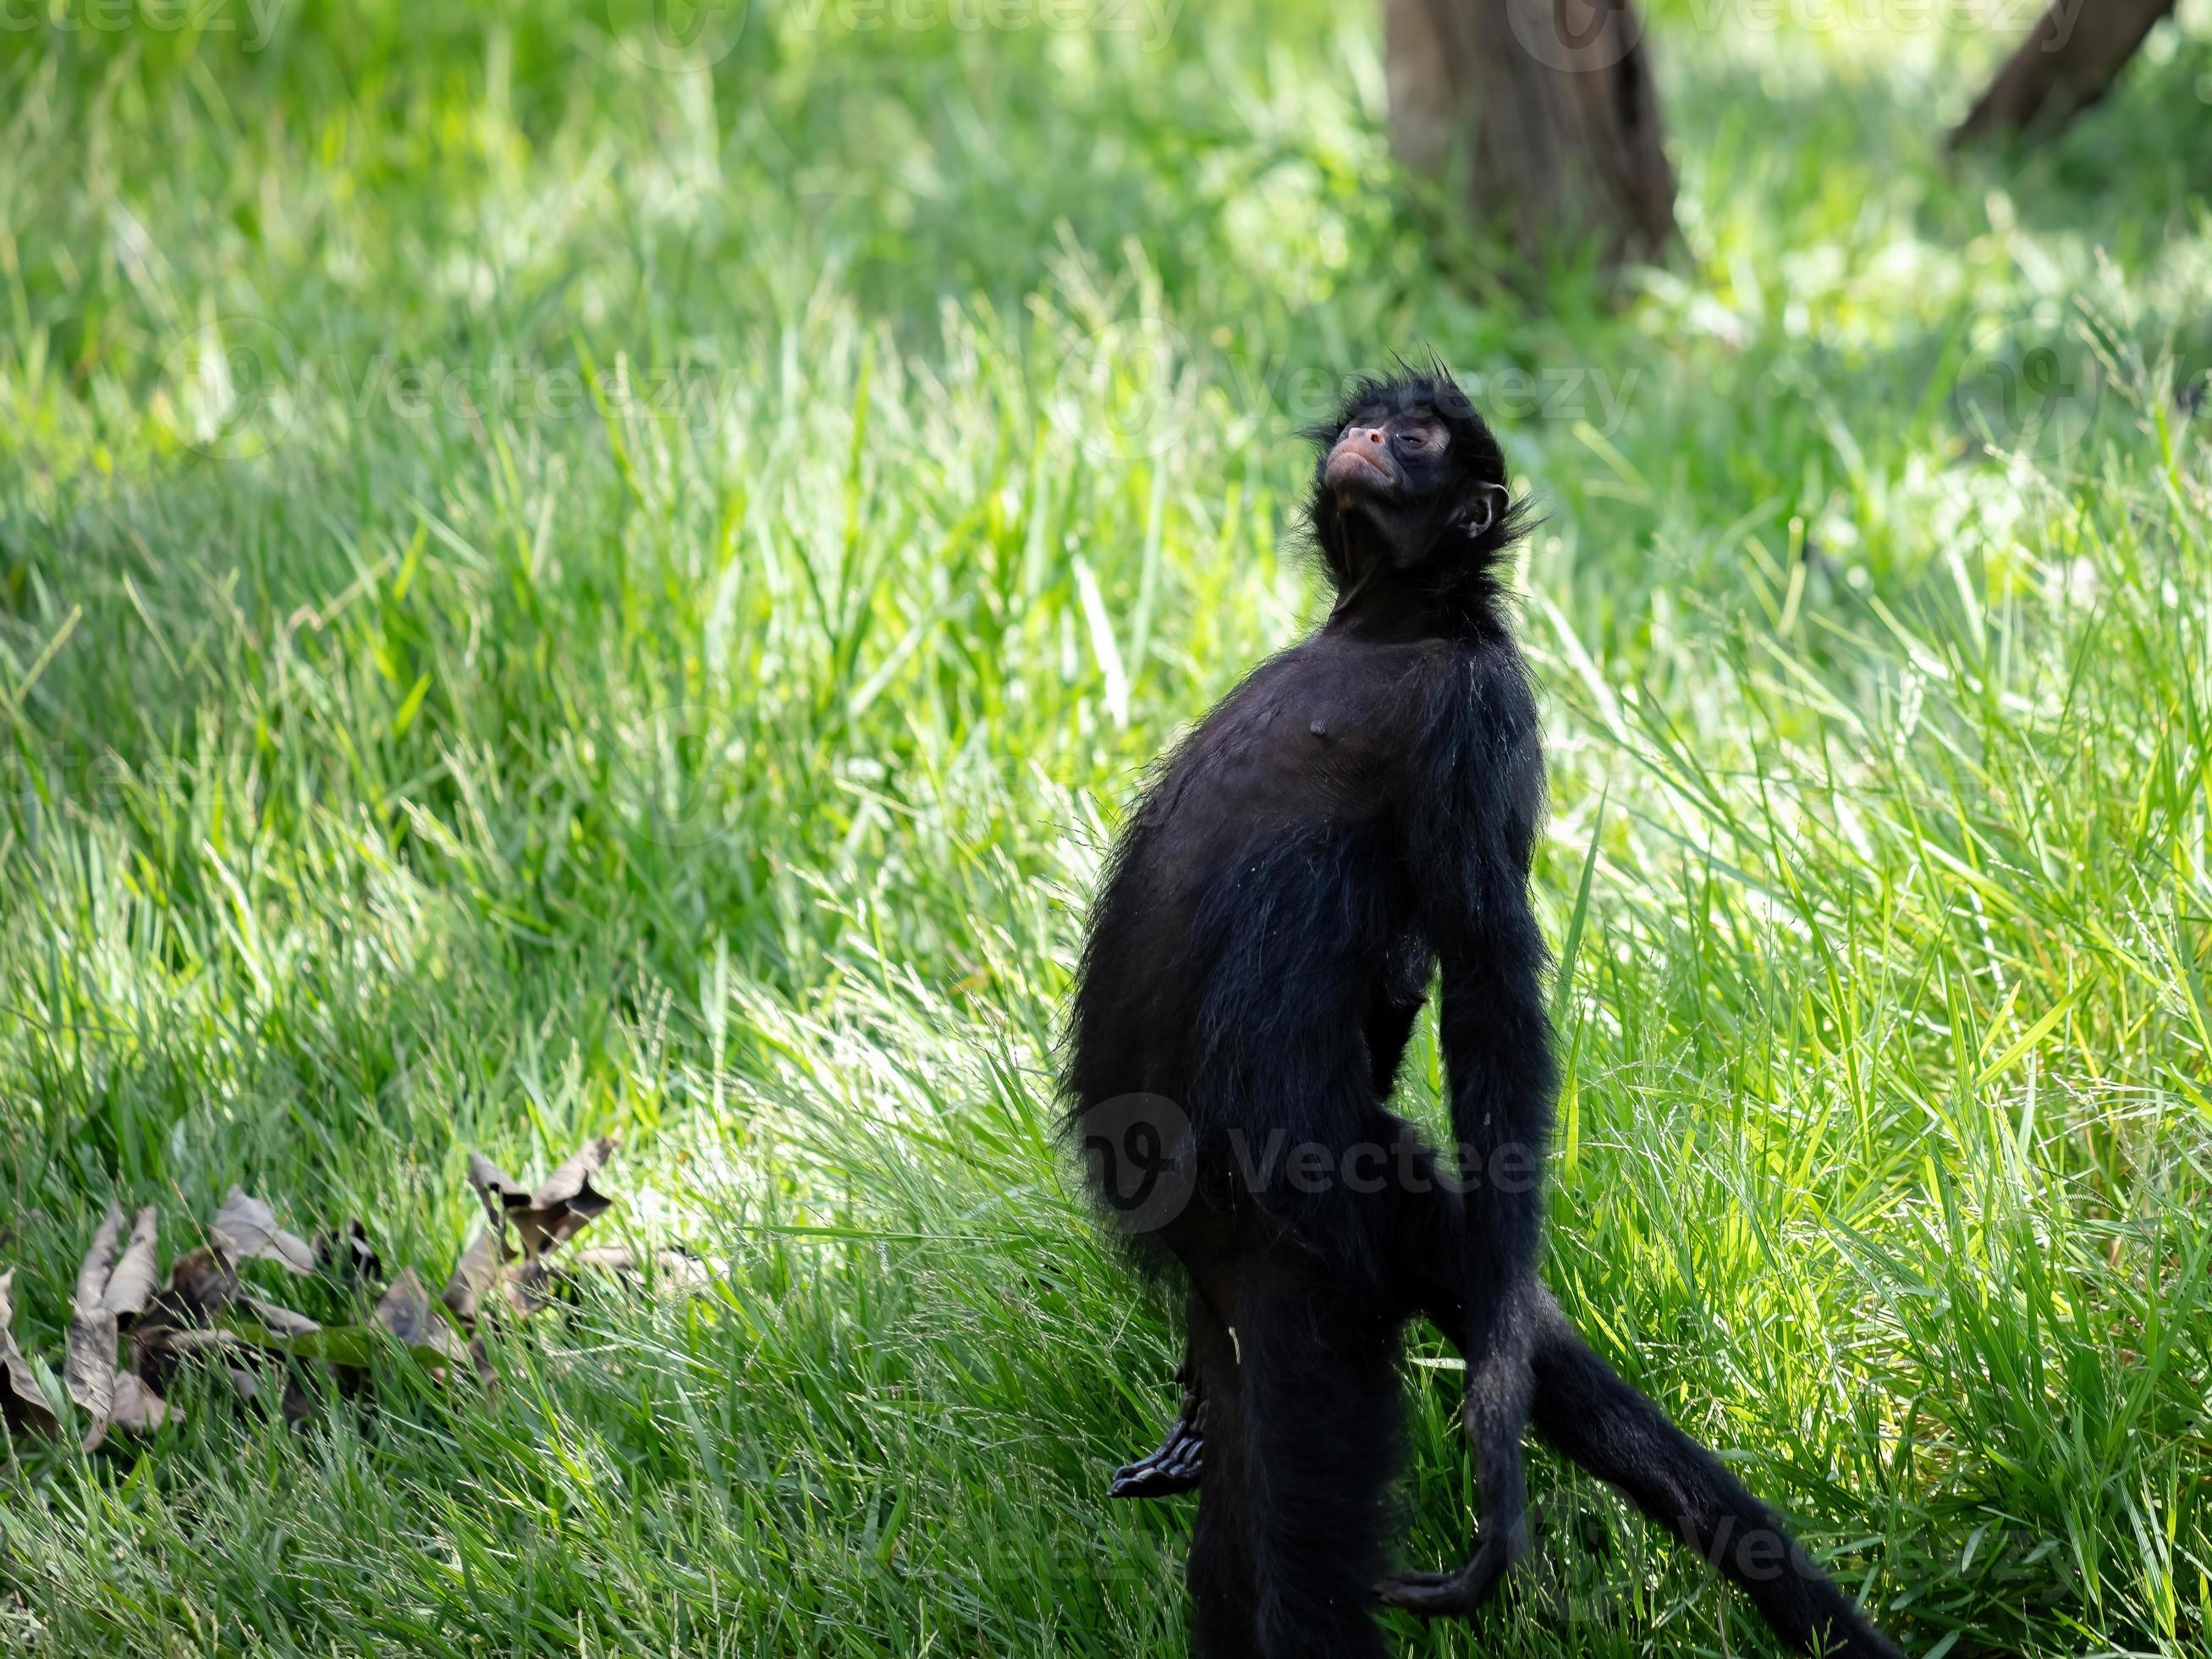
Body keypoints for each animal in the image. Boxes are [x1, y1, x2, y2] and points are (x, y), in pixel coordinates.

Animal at [1065, 369, 1902, 1659]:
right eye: (1371, 424)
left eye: (1413, 438)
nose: (1367, 437)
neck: (1390, 627)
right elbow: (1417, 991)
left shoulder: (1478, 711)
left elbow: (1485, 986)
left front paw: (1494, 1454)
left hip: (1311, 1262)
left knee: (1298, 1537)